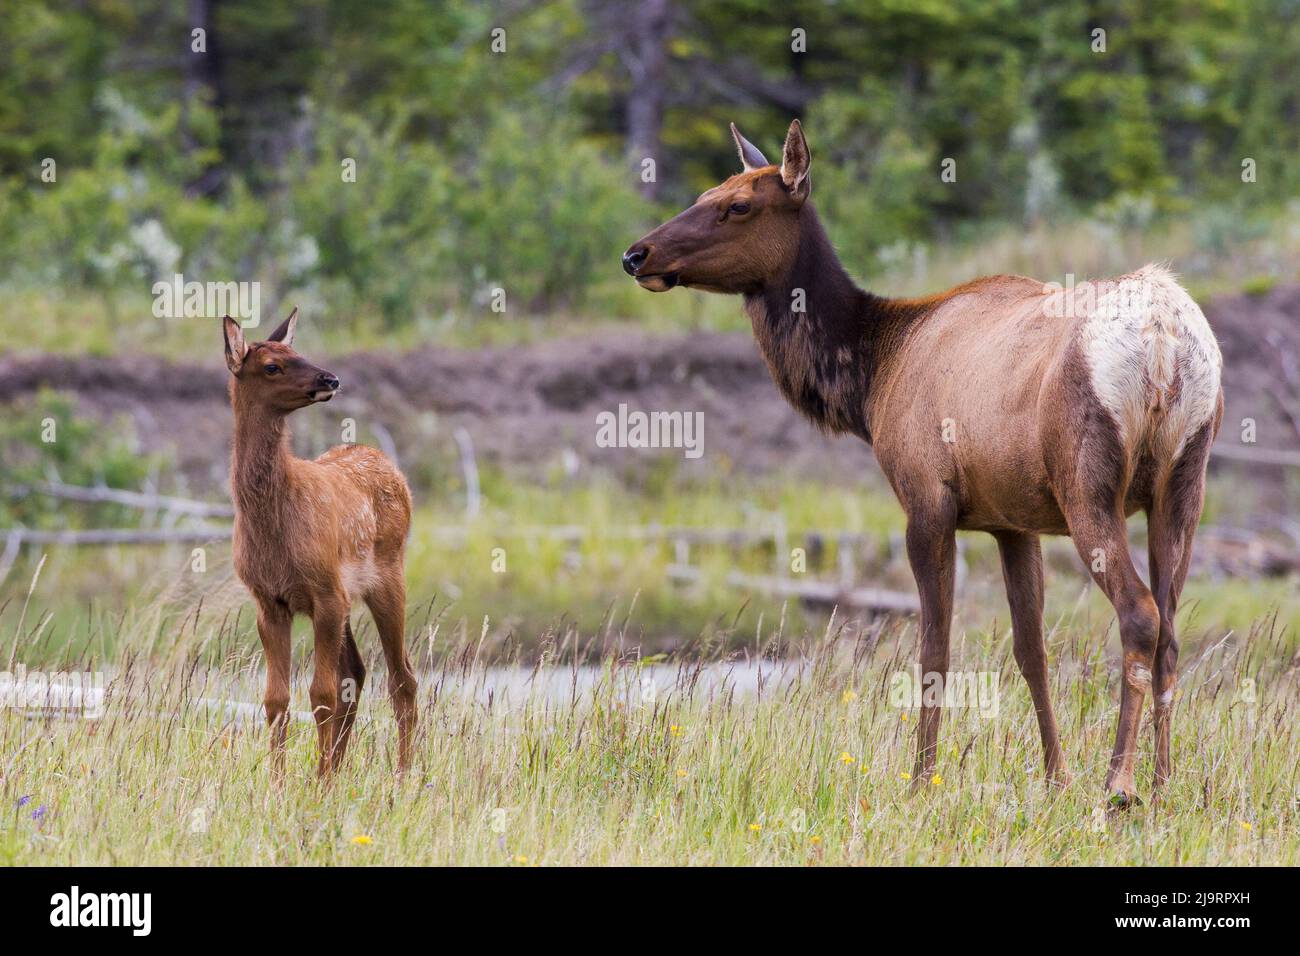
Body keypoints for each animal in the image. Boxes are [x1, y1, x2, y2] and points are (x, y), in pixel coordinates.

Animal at [222, 309, 417, 779]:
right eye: (272, 365)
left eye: (298, 352)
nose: (330, 378)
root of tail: (387, 463)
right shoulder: (270, 601)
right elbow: (277, 699)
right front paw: (279, 782)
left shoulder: (325, 593)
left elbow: (322, 695)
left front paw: (320, 783)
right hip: (347, 598)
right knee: (359, 673)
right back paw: (344, 768)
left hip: (387, 578)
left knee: (402, 677)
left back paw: (404, 776)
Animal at [623, 120, 1223, 807]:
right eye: (706, 192)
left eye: (740, 205)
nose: (637, 255)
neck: (873, 375)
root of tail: (1164, 340)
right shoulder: (1012, 520)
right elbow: (1031, 650)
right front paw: (1054, 777)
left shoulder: (926, 498)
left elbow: (934, 649)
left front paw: (920, 781)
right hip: (1183, 483)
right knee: (1172, 630)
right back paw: (1165, 781)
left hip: (1088, 485)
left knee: (1140, 613)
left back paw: (1119, 785)